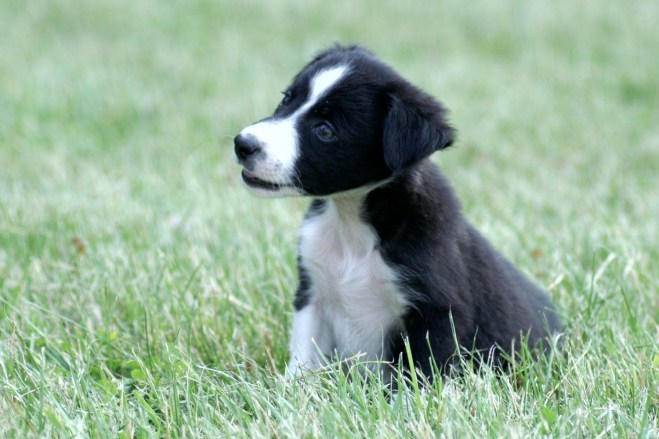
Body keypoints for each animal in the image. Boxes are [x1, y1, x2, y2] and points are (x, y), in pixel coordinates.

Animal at [234, 45, 561, 380]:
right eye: (287, 98)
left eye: (325, 130)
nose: (243, 144)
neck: (352, 224)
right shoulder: (313, 293)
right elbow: (303, 359)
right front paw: (291, 389)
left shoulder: (436, 312)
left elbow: (421, 374)